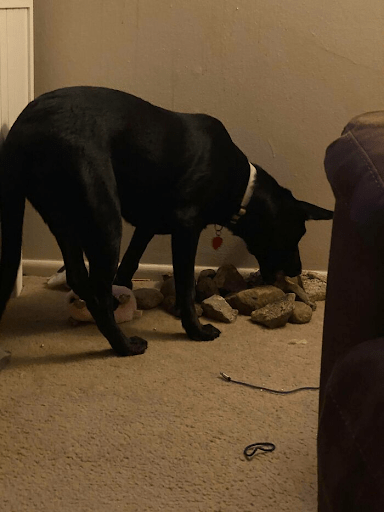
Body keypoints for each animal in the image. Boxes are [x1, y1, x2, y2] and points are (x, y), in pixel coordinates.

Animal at [0, 87, 332, 356]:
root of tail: (21, 130)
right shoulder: (186, 228)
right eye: (296, 234)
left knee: (79, 278)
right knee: (98, 287)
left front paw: (127, 295)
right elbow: (185, 286)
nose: (298, 270)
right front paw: (196, 330)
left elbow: (129, 264)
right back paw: (124, 345)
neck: (241, 187)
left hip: (64, 219)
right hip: (103, 219)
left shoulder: (147, 226)